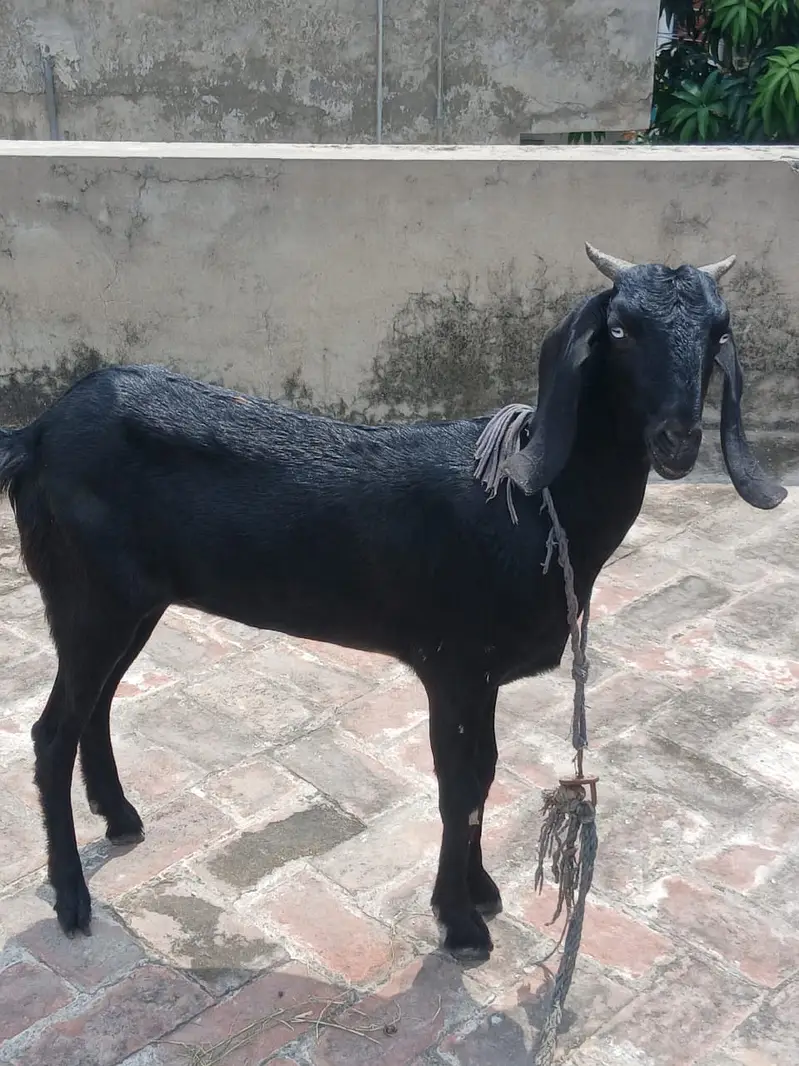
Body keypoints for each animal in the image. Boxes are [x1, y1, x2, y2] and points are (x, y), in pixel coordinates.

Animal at [0, 243, 786, 958]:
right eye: (619, 330)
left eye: (718, 332)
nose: (678, 438)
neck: (527, 503)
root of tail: (36, 435)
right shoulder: (453, 663)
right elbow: (460, 782)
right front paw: (460, 922)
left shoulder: (481, 674)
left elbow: (485, 773)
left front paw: (480, 893)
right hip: (89, 596)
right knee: (52, 731)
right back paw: (71, 897)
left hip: (132, 602)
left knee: (96, 705)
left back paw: (120, 817)